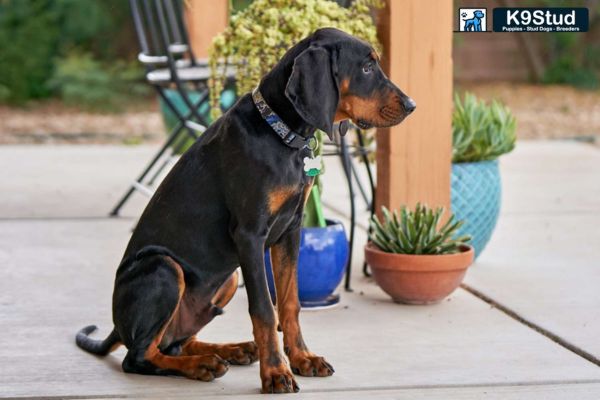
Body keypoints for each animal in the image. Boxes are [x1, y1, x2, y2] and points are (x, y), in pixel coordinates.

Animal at [76, 28, 412, 394]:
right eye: (366, 68)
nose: (412, 105)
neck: (281, 133)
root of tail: (116, 325)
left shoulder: (290, 229)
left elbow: (290, 302)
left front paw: (302, 358)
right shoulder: (250, 234)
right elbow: (264, 309)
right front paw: (276, 372)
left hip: (227, 277)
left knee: (173, 342)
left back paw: (229, 351)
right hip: (163, 266)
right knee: (138, 356)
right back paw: (201, 365)